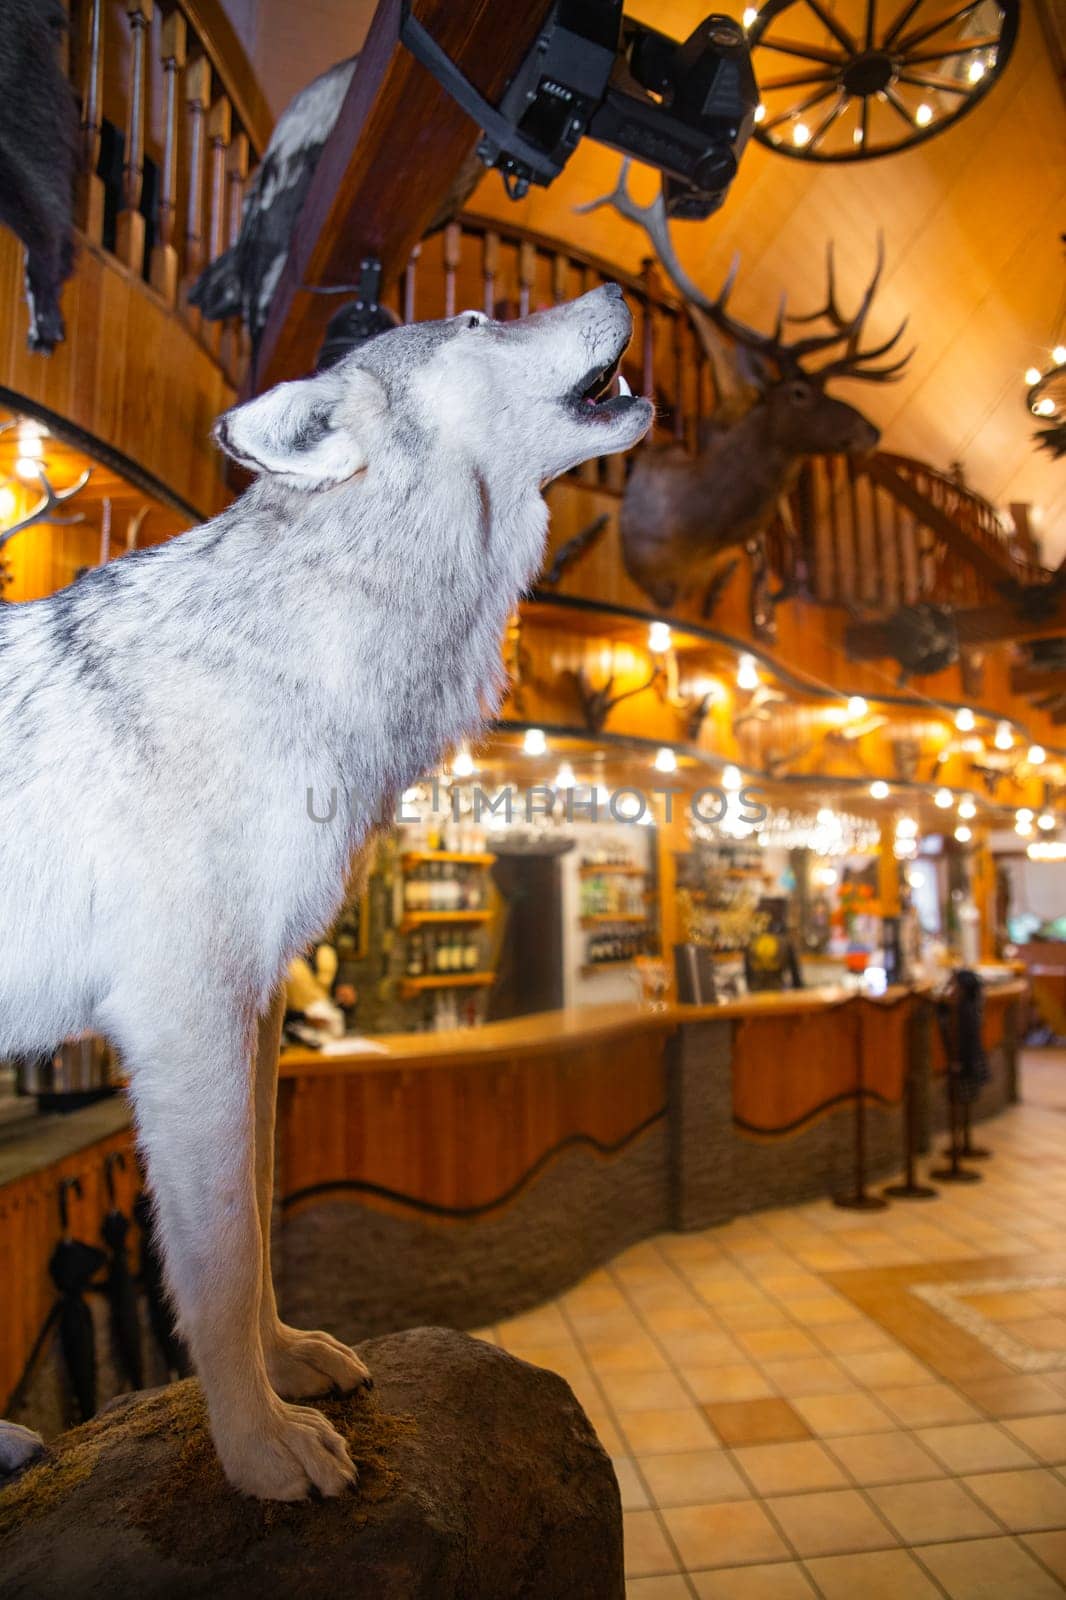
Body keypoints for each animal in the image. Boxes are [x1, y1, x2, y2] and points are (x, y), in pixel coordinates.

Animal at [0, 288, 646, 1497]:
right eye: (477, 317)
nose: (622, 292)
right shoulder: (187, 1012)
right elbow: (213, 1257)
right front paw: (259, 1450)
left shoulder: (254, 1011)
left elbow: (258, 1233)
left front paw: (289, 1367)